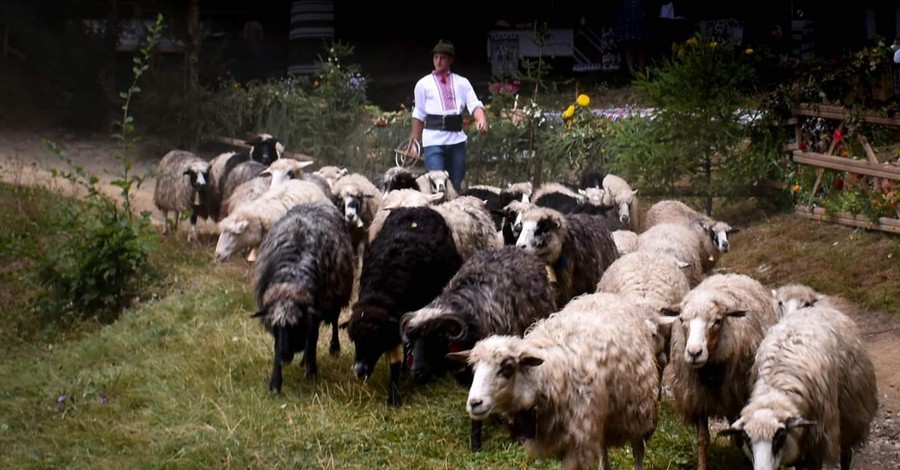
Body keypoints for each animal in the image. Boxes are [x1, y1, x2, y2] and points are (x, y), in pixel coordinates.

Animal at [251, 204, 356, 392]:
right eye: (276, 327)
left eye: (294, 325)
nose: (285, 357)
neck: (291, 277)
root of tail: (317, 203)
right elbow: (279, 346)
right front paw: (275, 383)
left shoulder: (316, 309)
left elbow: (313, 338)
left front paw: (312, 371)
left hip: (336, 295)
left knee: (334, 322)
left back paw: (333, 348)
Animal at [450, 302, 660, 468]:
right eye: (473, 369)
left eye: (507, 368)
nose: (474, 403)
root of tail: (611, 296)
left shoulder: (579, 443)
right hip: (603, 418)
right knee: (604, 451)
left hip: (637, 413)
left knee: (638, 450)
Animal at [660, 272, 780, 470]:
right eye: (682, 319)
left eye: (717, 321)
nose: (694, 353)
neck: (709, 372)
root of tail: (729, 274)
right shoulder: (698, 399)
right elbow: (702, 439)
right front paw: (702, 466)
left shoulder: (739, 396)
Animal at [716, 304, 880, 470]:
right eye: (747, 439)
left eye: (780, 437)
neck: (774, 389)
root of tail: (818, 308)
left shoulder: (825, 438)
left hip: (852, 415)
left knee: (846, 453)